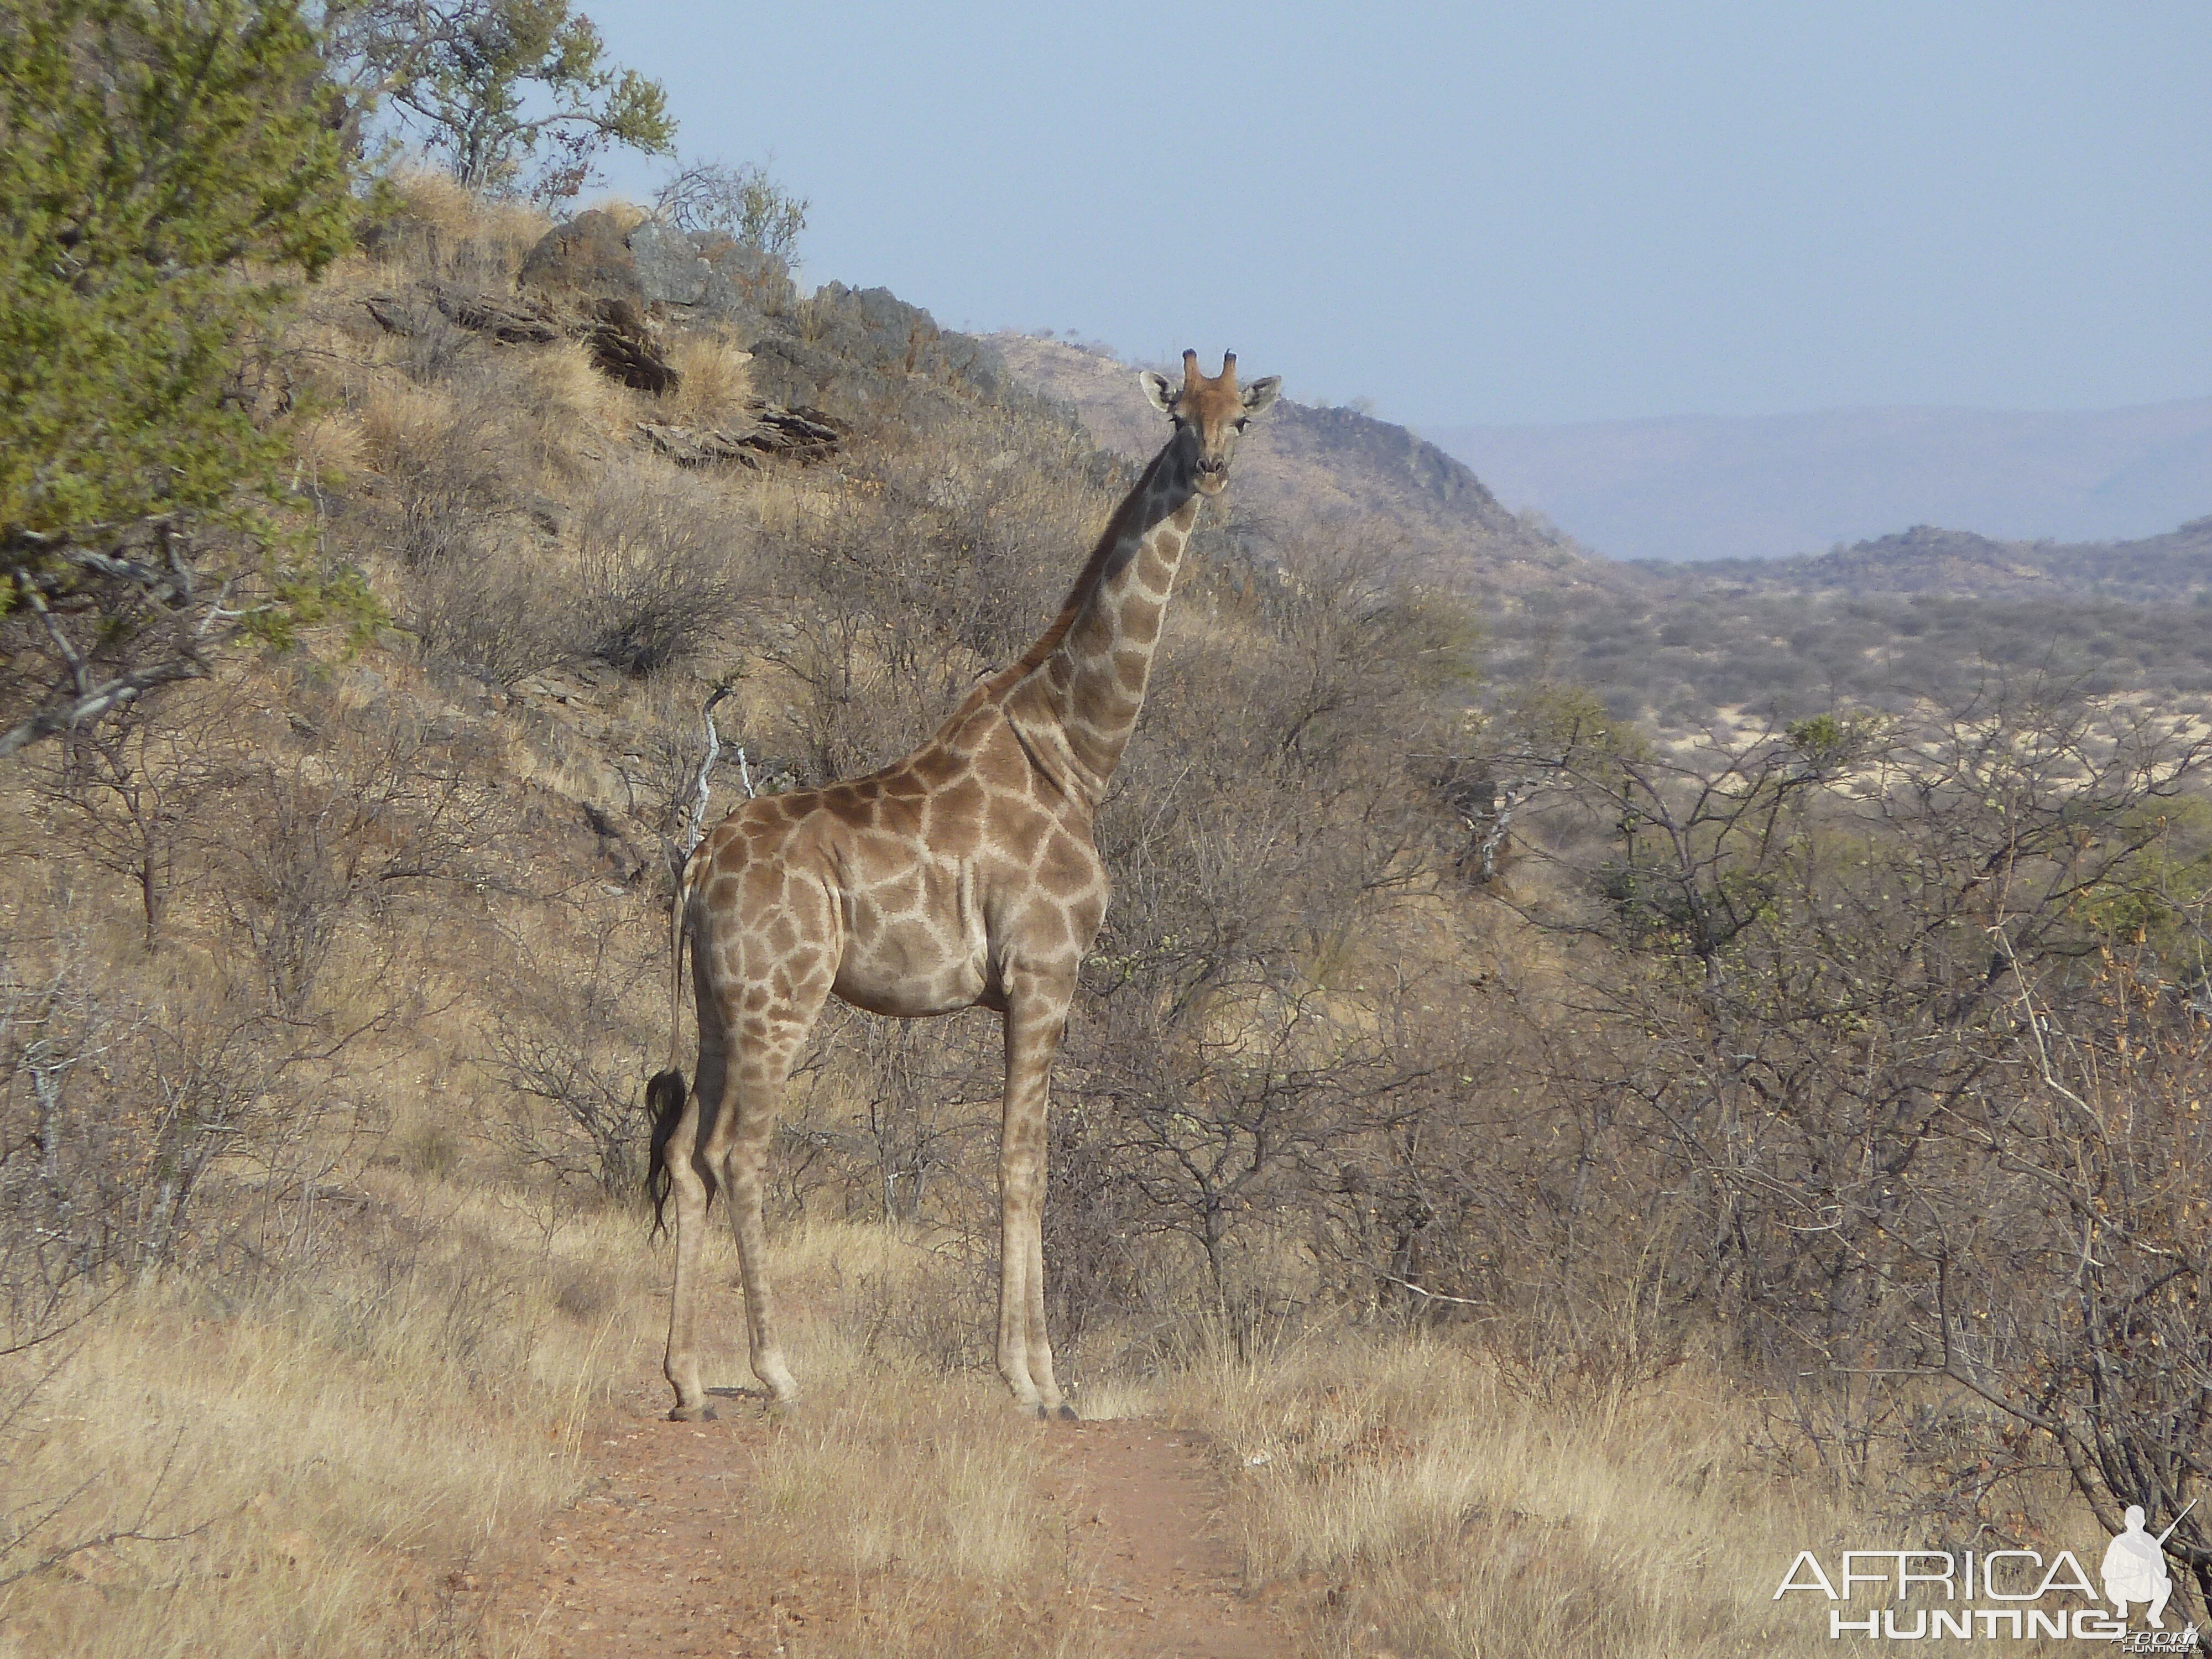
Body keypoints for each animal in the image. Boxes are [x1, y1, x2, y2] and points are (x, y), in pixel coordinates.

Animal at [646, 347, 1283, 1416]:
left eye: (1242, 418)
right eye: (1179, 417)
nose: (1210, 471)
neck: (1076, 755)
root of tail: (696, 866)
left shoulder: (1018, 988)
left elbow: (1017, 1160)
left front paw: (1032, 1373)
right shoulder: (1046, 972)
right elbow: (1024, 1165)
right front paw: (1037, 1381)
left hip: (718, 1003)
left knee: (690, 1158)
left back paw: (688, 1380)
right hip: (782, 998)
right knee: (739, 1154)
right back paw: (777, 1372)